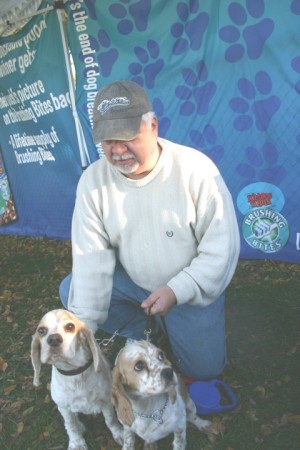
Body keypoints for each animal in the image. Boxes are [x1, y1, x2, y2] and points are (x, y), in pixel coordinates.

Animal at [30, 312, 123, 450]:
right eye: (41, 330)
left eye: (70, 326)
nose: (53, 339)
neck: (75, 373)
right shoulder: (64, 407)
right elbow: (71, 426)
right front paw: (76, 443)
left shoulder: (105, 400)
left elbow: (111, 419)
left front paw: (118, 433)